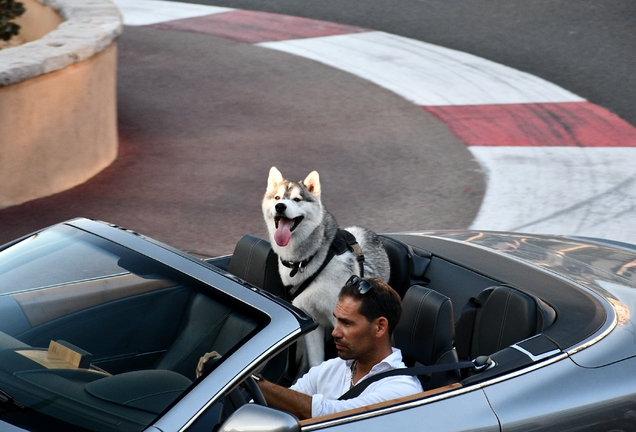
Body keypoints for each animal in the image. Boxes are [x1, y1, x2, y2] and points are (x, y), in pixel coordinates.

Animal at [260, 167, 390, 370]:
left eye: (297, 199)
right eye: (277, 197)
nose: (280, 206)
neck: (309, 260)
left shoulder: (341, 323)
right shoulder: (313, 321)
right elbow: (316, 362)